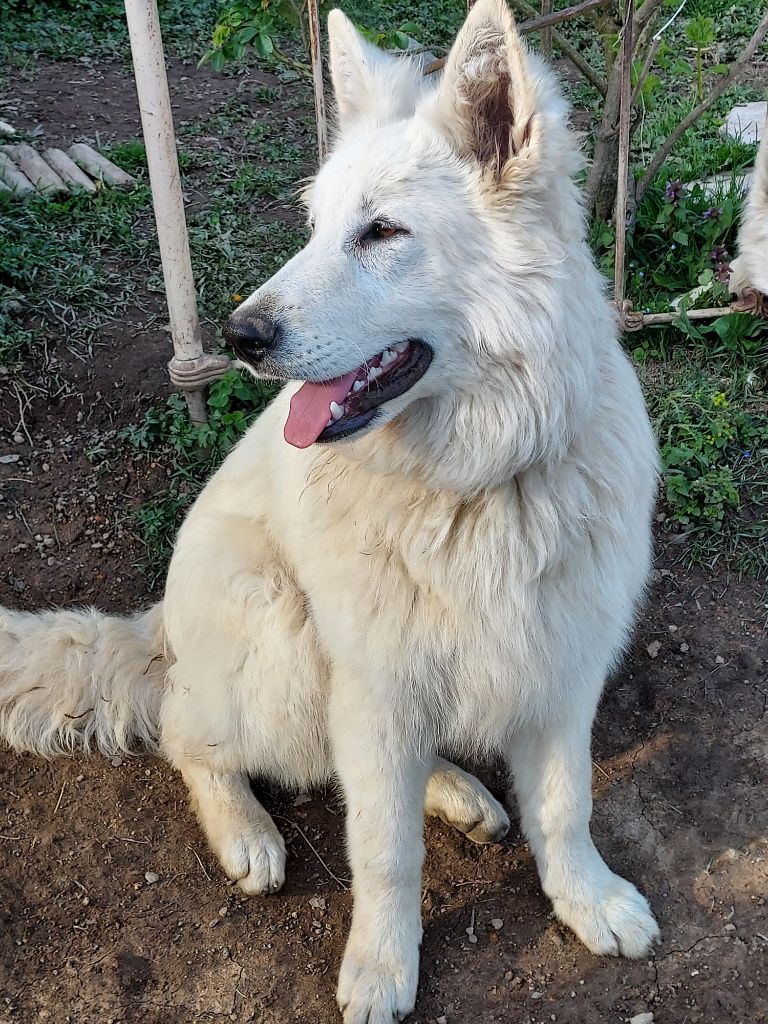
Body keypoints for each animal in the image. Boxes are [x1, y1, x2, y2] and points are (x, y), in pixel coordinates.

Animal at [0, 4, 663, 1019]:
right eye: (315, 229)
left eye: (383, 231)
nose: (238, 336)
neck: (477, 480)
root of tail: (159, 631)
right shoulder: (376, 683)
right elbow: (383, 851)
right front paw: (383, 967)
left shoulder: (560, 662)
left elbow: (565, 804)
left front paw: (586, 899)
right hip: (280, 633)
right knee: (194, 739)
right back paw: (245, 830)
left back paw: (458, 792)